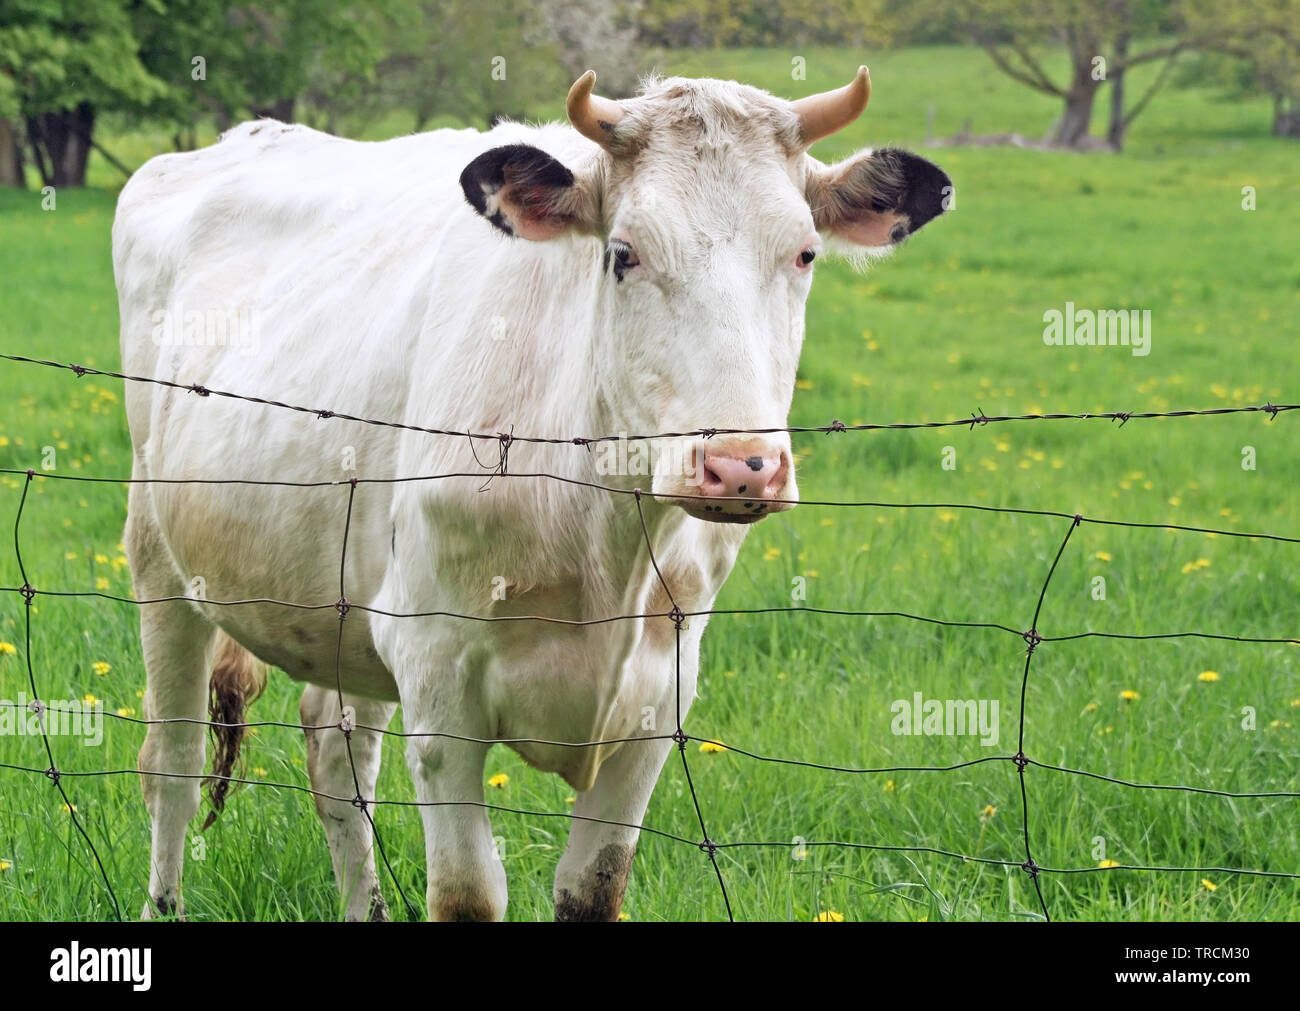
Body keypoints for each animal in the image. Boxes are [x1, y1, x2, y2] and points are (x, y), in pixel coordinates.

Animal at [112, 67, 951, 921]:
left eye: (805, 252)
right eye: (623, 253)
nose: (741, 467)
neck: (604, 539)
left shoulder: (660, 698)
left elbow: (594, 888)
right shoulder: (439, 681)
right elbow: (467, 894)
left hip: (350, 603)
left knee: (338, 762)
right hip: (159, 557)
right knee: (173, 761)